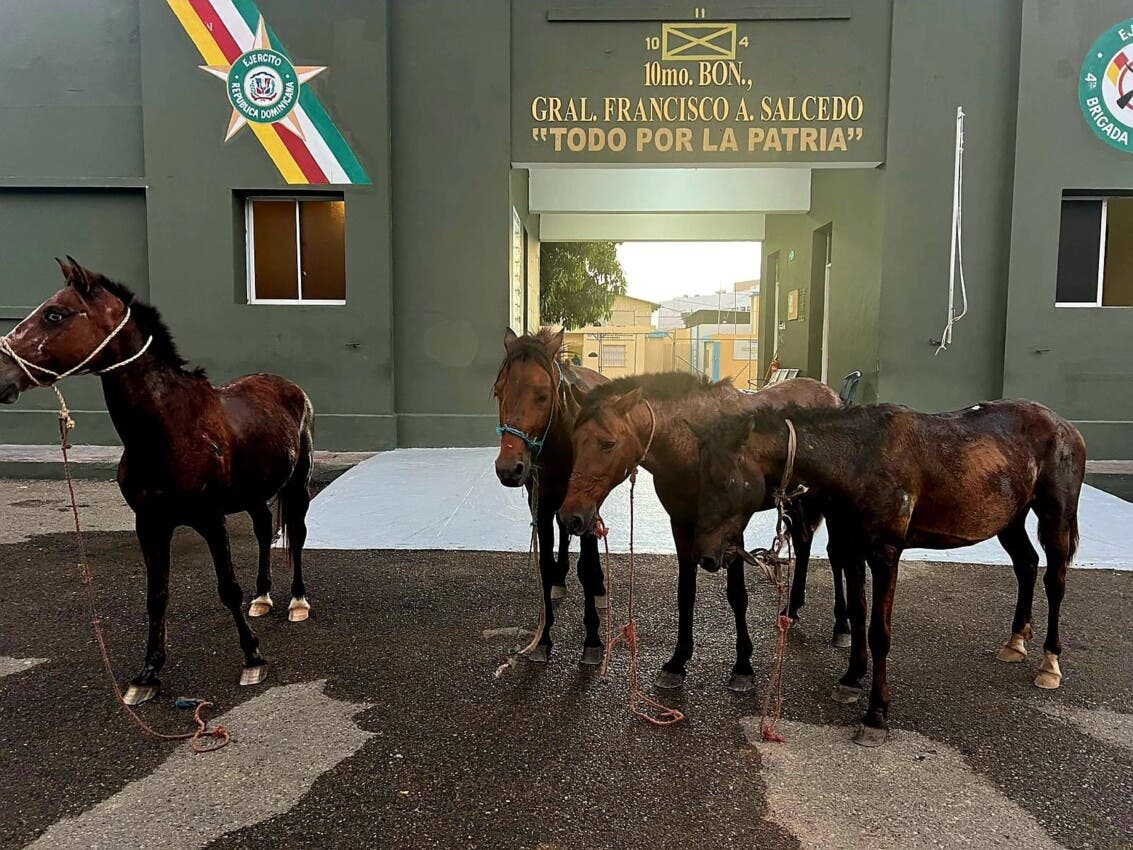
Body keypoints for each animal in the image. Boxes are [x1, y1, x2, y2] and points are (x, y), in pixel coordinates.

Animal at [0, 258, 315, 704]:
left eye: (55, 314)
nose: (1, 374)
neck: (168, 431)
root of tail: (289, 386)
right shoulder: (149, 524)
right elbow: (156, 596)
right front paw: (147, 674)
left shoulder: (210, 520)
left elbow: (227, 588)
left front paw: (252, 658)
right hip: (253, 494)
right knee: (262, 530)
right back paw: (263, 596)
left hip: (297, 485)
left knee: (298, 536)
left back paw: (297, 602)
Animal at [493, 327, 608, 664]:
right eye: (498, 392)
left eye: (543, 394)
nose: (509, 468)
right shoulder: (542, 507)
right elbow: (543, 565)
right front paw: (542, 639)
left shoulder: (586, 507)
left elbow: (586, 567)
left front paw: (592, 641)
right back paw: (559, 579)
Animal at [557, 372, 845, 693]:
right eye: (574, 441)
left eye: (608, 443)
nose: (571, 516)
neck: (691, 448)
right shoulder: (682, 524)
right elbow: (686, 592)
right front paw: (677, 662)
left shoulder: (732, 530)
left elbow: (737, 595)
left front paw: (743, 667)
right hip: (796, 502)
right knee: (804, 543)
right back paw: (792, 609)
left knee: (837, 554)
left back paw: (841, 627)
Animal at [692, 400, 1085, 746]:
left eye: (728, 481)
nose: (706, 556)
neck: (856, 459)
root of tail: (1066, 427)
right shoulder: (851, 550)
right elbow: (857, 613)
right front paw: (852, 678)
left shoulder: (885, 555)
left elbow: (879, 632)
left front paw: (876, 714)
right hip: (1010, 519)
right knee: (1026, 565)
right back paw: (1016, 640)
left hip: (1055, 517)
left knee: (1055, 581)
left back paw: (1050, 663)